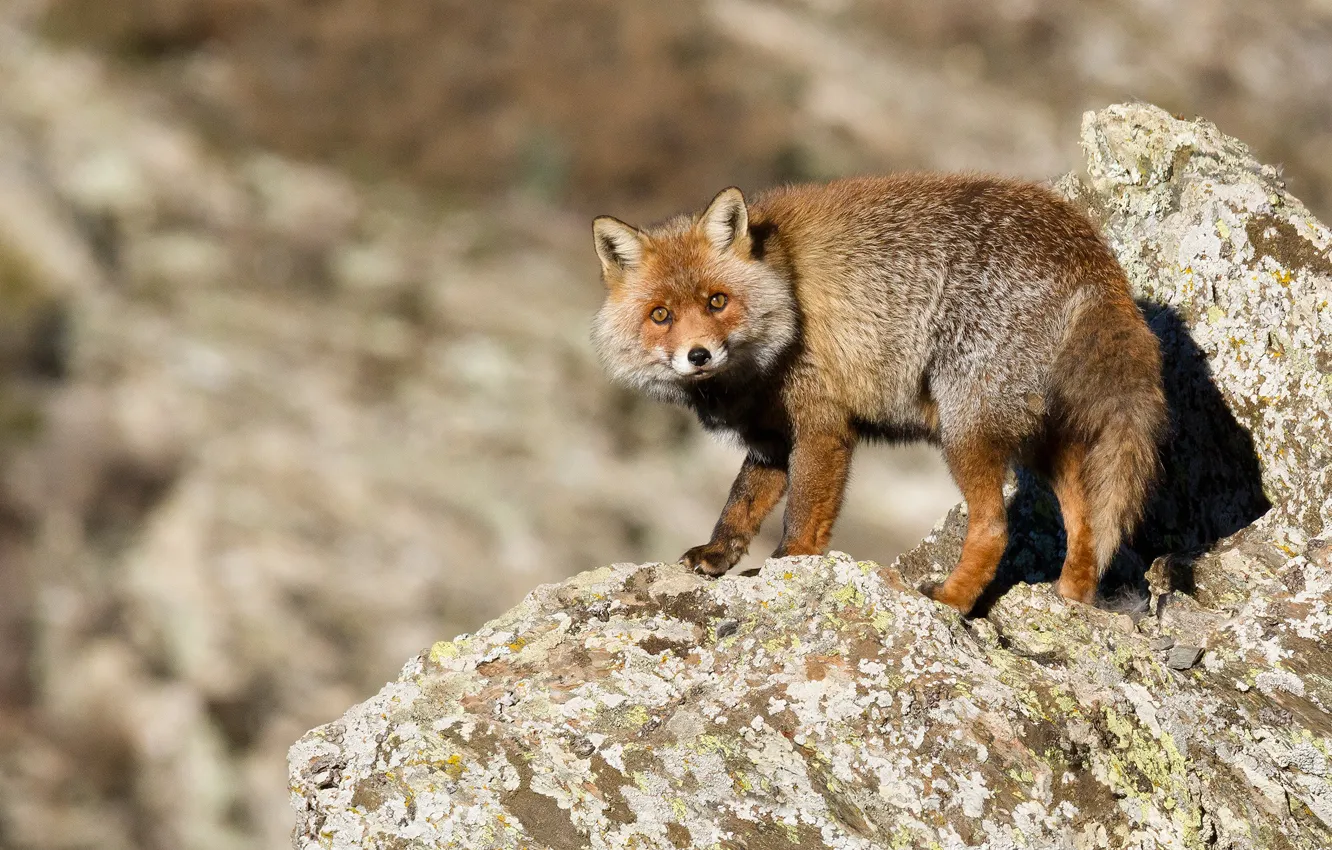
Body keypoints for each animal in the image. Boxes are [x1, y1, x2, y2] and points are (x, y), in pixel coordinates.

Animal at [590, 175, 1166, 614]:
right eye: (660, 315)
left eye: (717, 301)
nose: (699, 355)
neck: (786, 295)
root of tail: (1086, 245)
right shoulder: (771, 439)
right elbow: (740, 505)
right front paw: (716, 554)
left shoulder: (823, 426)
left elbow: (801, 518)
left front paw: (786, 570)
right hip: (1040, 440)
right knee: (1086, 521)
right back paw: (1070, 600)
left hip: (965, 431)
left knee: (994, 529)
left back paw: (951, 600)